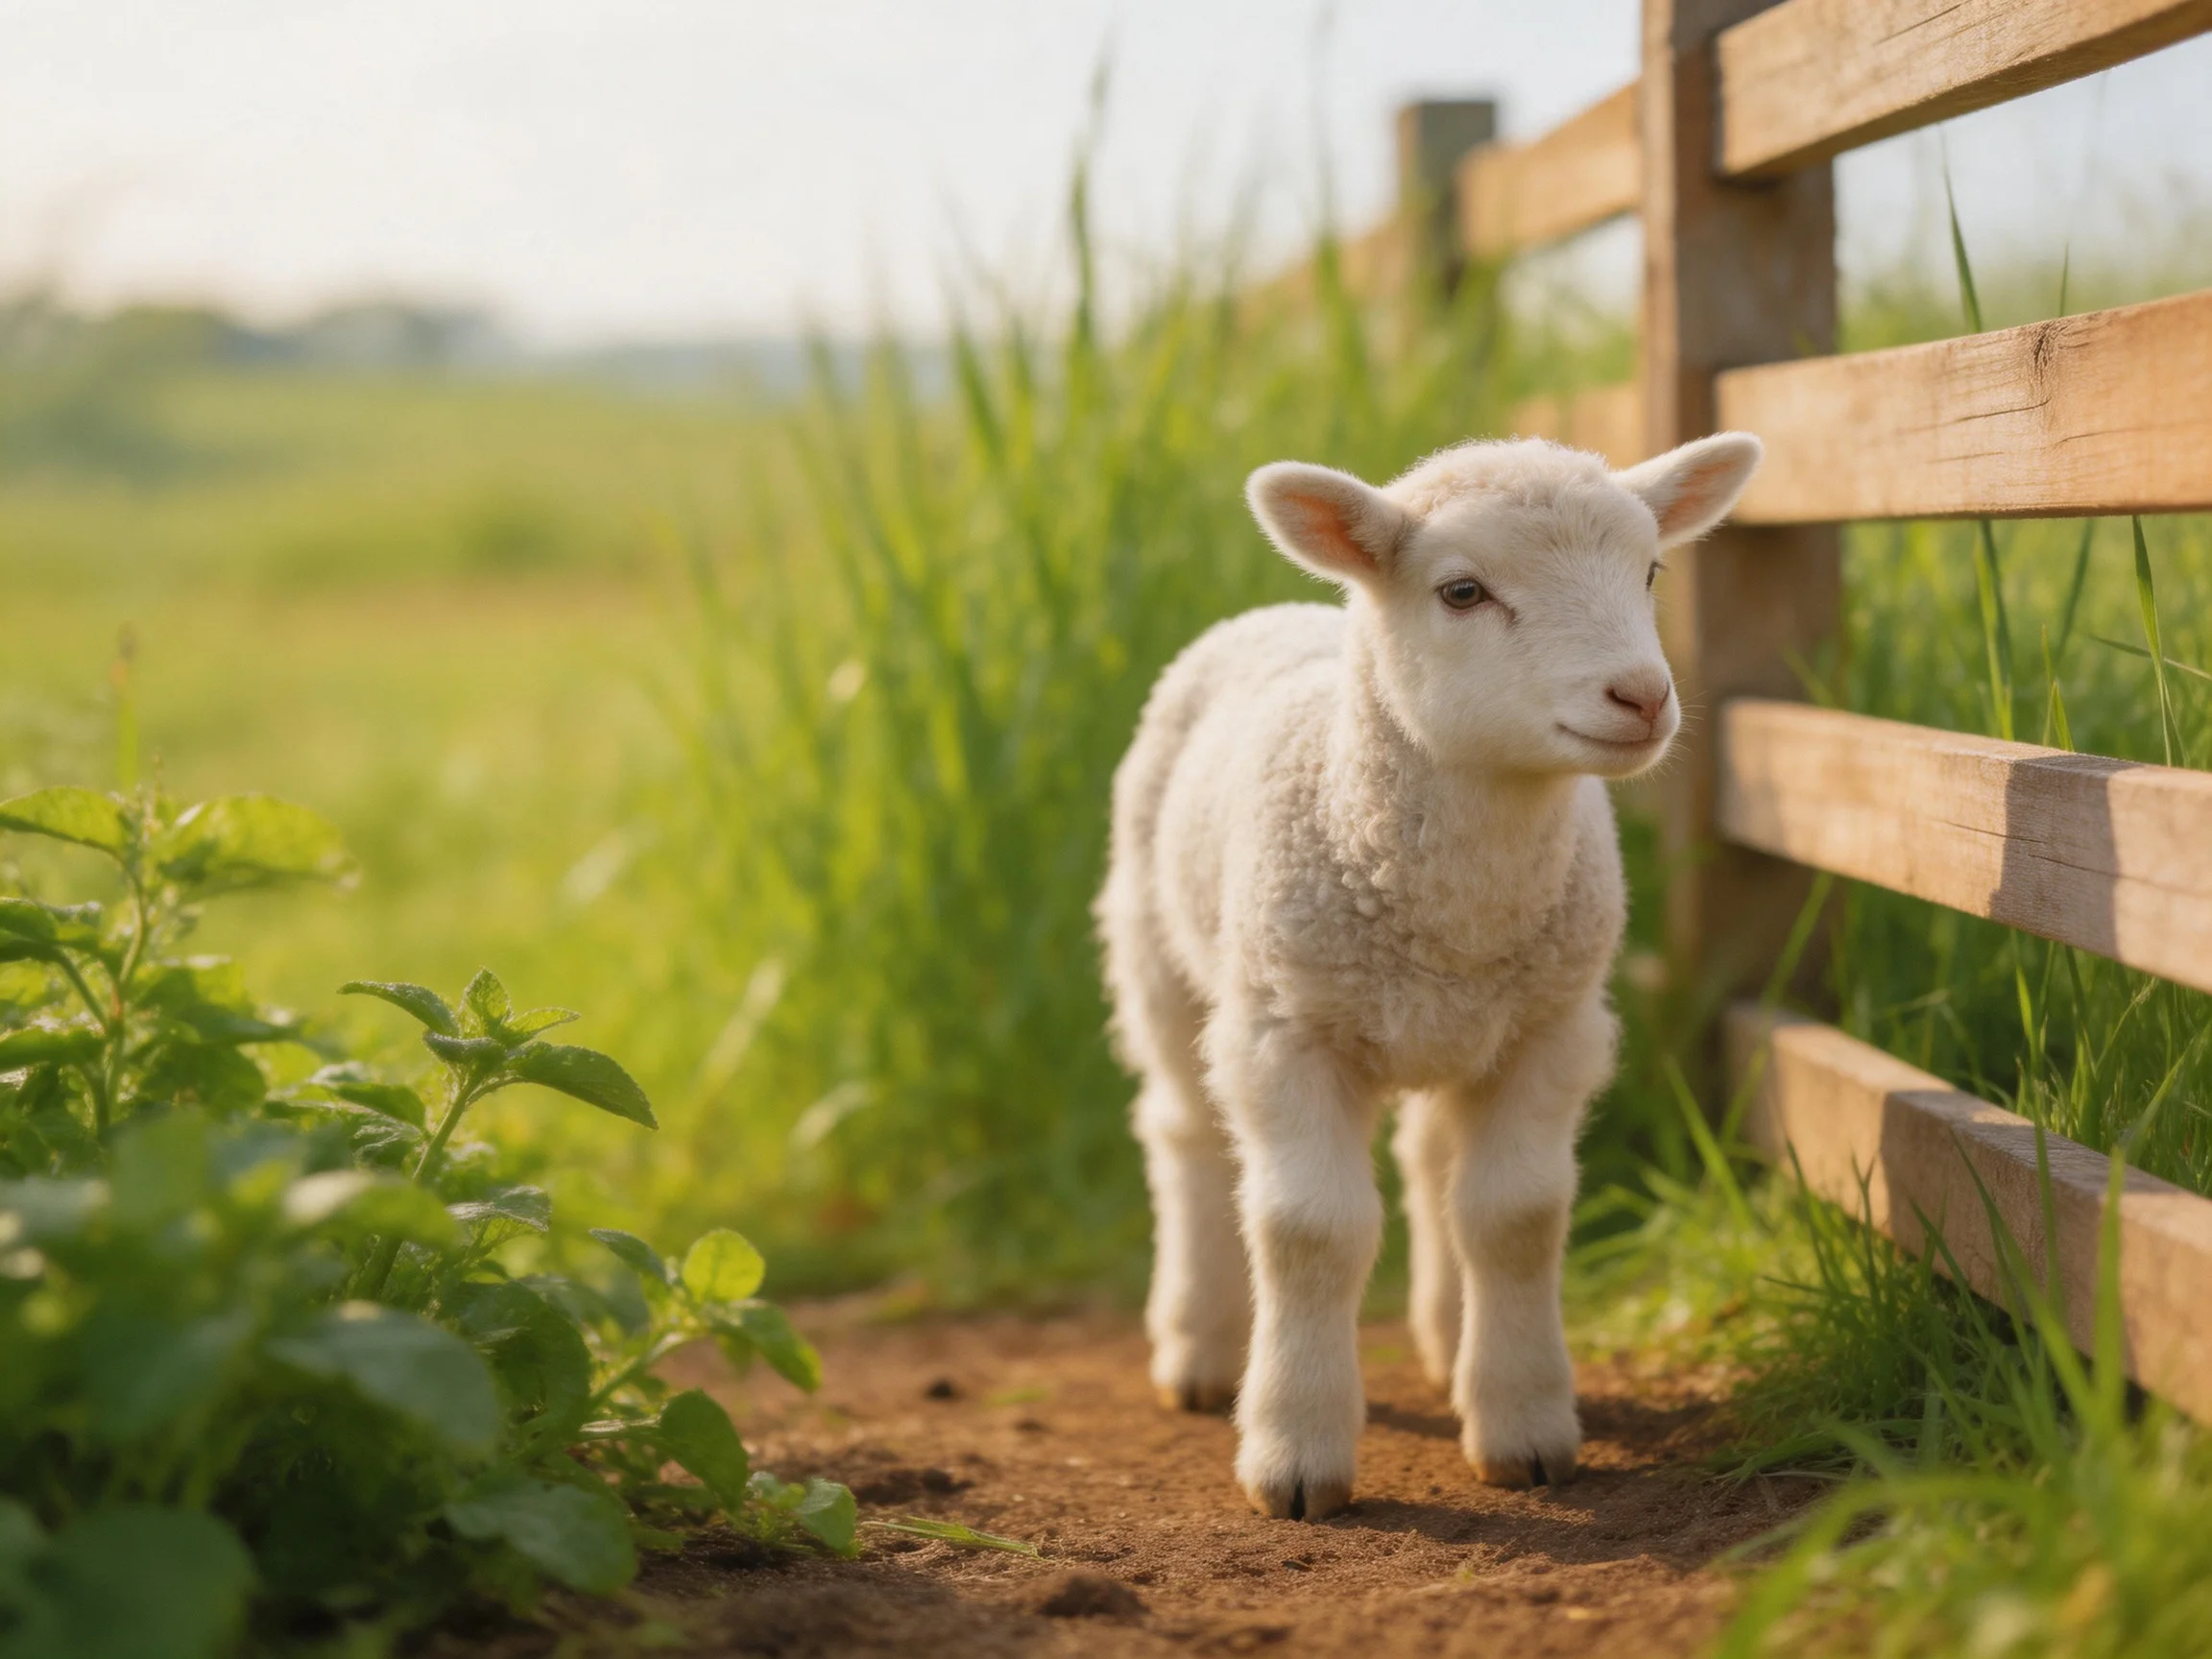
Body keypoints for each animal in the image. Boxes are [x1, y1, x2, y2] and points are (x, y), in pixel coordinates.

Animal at [1094, 432, 1763, 1520]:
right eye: (1462, 591)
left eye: (1653, 570)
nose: (1642, 696)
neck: (1457, 906)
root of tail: (1286, 609)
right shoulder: (1285, 1032)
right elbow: (1309, 1230)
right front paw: (1295, 1453)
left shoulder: (1551, 1028)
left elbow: (1514, 1218)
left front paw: (1523, 1426)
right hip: (1158, 951)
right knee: (1182, 1134)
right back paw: (1196, 1346)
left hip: (1450, 1026)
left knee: (1433, 1163)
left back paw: (1452, 1342)